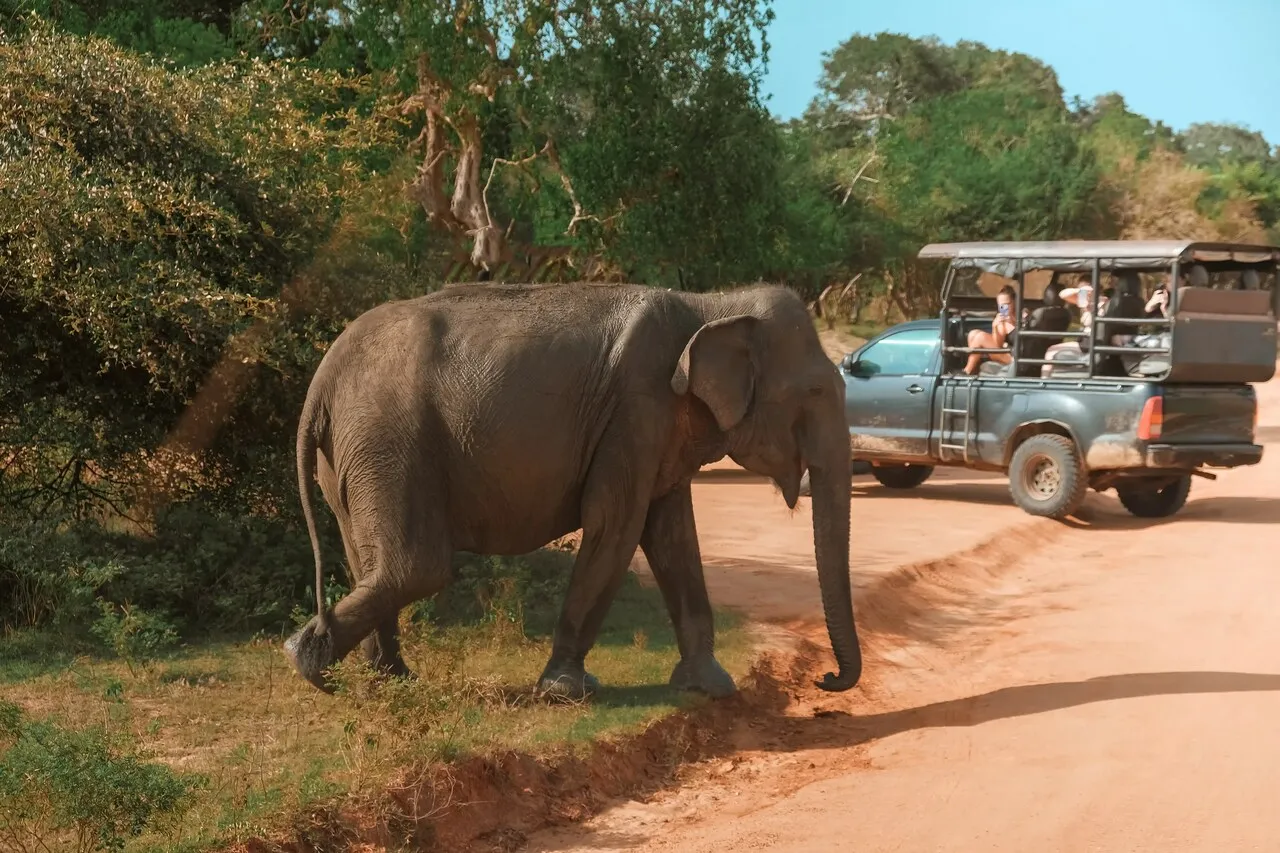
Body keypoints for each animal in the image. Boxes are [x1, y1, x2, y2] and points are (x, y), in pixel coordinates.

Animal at [283, 281, 863, 701]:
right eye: (815, 392)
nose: (826, 680)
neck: (712, 303)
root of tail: (323, 375)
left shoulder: (659, 428)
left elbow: (672, 534)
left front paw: (710, 688)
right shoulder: (636, 407)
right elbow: (617, 522)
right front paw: (566, 692)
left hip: (352, 454)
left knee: (369, 559)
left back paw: (386, 681)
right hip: (388, 437)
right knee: (416, 566)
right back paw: (306, 659)